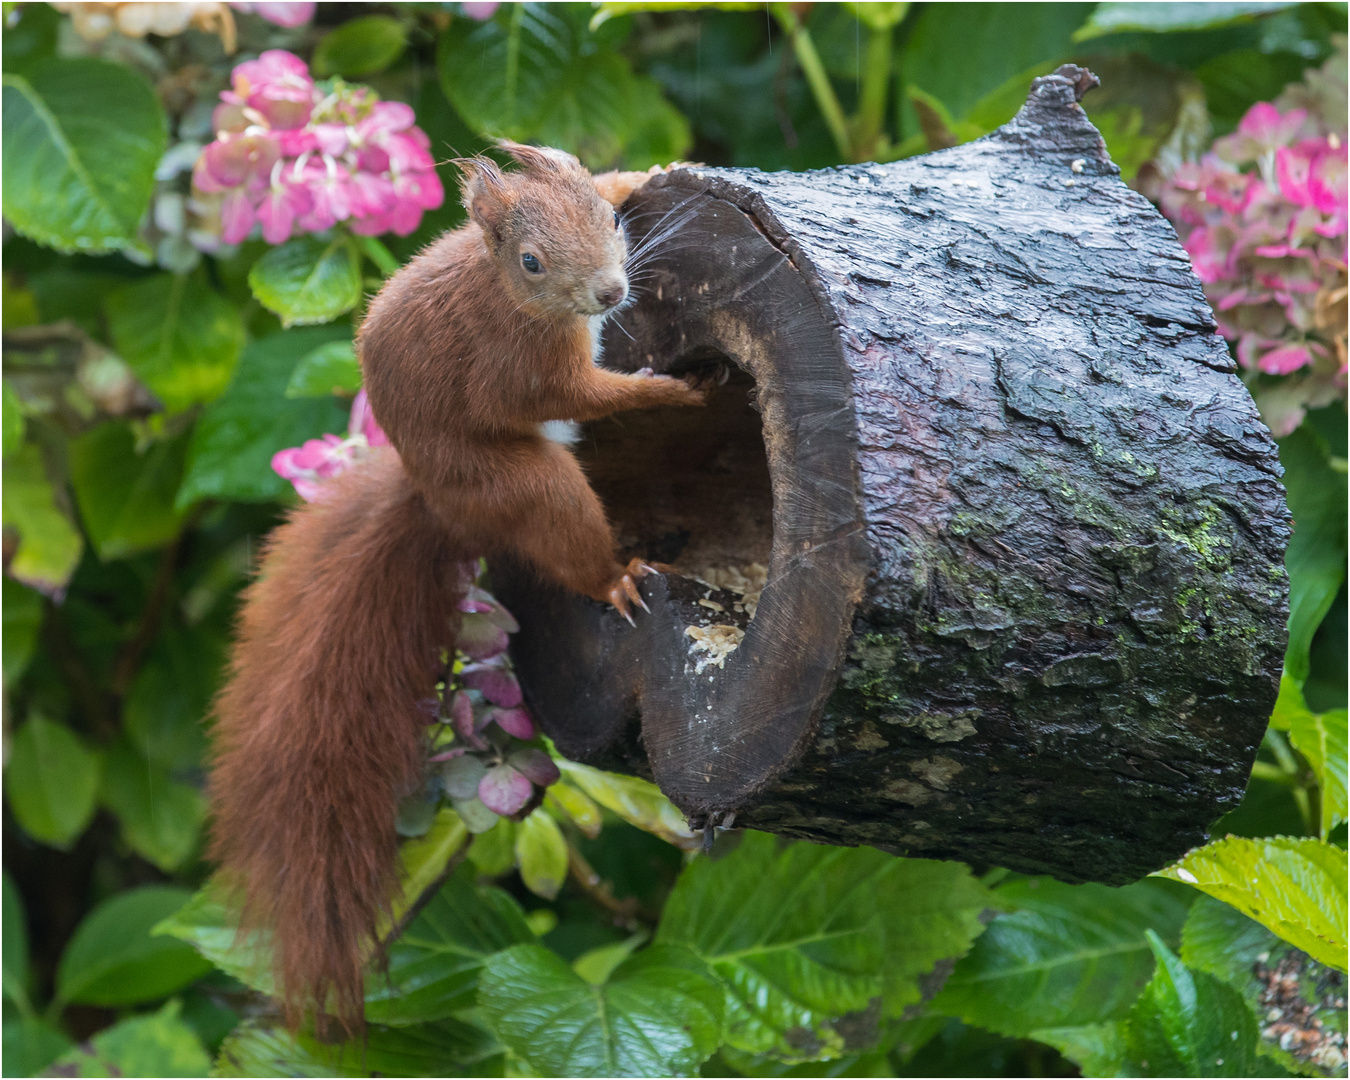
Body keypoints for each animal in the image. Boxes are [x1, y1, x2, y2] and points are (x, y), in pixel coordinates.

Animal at [210, 139, 707, 1031]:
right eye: (532, 262)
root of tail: (436, 499)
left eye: (605, 220)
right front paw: (664, 388)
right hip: (523, 483)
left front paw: (649, 172)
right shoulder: (519, 367)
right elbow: (579, 394)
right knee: (562, 520)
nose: (610, 295)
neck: (505, 291)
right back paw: (615, 578)